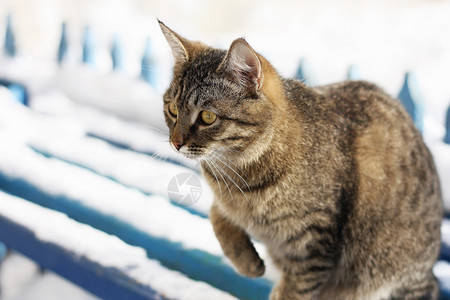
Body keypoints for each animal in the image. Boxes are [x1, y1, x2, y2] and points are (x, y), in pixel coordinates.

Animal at [158, 19, 442, 298]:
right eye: (172, 109)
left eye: (207, 117)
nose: (175, 143)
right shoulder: (228, 205)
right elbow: (217, 216)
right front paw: (248, 262)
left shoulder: (313, 247)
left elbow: (292, 292)